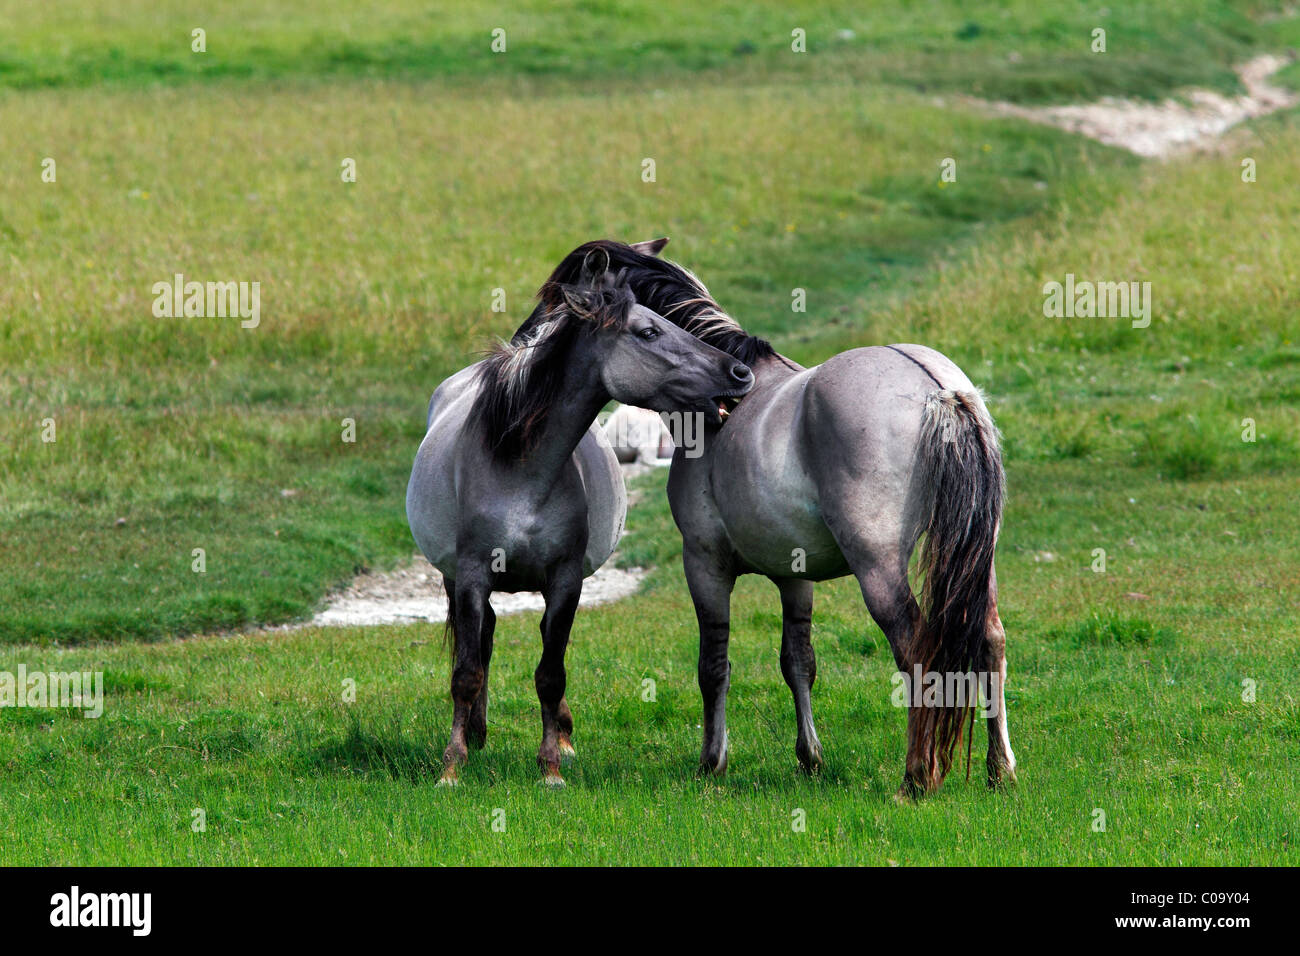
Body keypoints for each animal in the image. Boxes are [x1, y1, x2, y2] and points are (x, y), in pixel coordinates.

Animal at [403, 254, 754, 785]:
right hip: (454, 578)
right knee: (481, 641)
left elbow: (551, 673)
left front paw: (550, 765)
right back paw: (477, 735)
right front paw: (452, 765)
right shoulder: (470, 575)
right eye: (649, 331)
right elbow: (466, 672)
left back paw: (558, 738)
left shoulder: (565, 581)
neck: (519, 468)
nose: (739, 371)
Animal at [517, 239, 1013, 801]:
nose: (524, 343)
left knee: (915, 649)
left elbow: (714, 666)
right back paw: (999, 770)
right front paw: (809, 757)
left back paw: (916, 776)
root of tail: (938, 389)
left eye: (560, 299)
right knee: (990, 640)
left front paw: (712, 761)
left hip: (879, 567)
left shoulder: (704, 564)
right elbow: (798, 663)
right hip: (978, 557)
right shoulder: (794, 576)